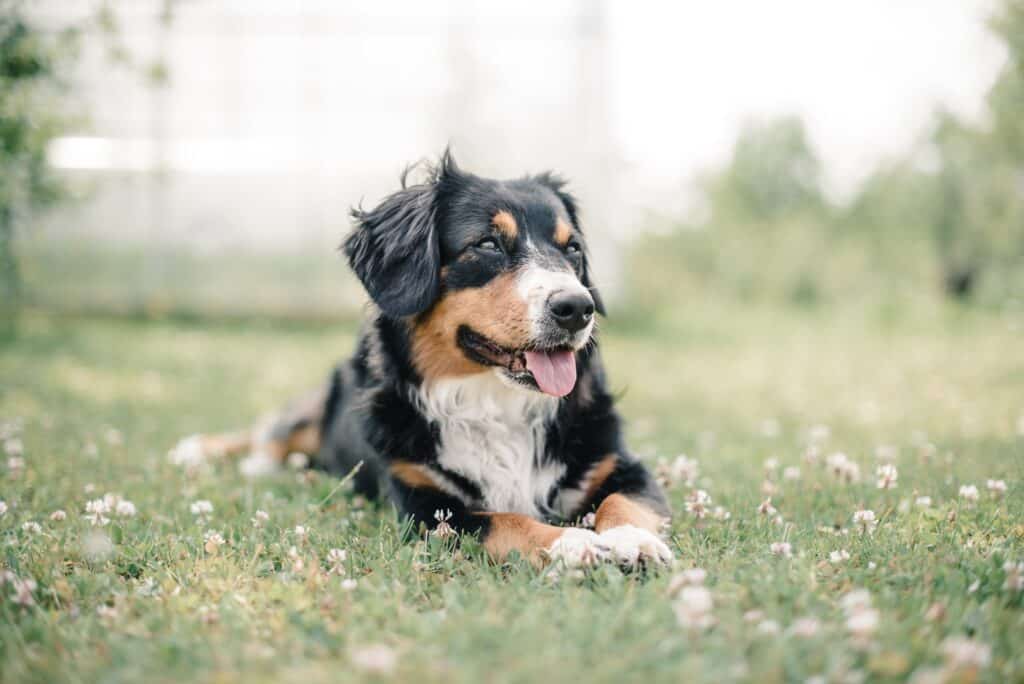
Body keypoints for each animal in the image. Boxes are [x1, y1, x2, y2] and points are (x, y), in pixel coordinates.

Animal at [171, 152, 671, 569]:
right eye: (488, 244)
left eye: (573, 249)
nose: (577, 308)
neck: (494, 403)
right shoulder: (426, 506)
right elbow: (507, 521)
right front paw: (571, 542)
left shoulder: (619, 464)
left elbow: (624, 502)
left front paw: (631, 540)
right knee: (269, 432)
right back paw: (205, 451)